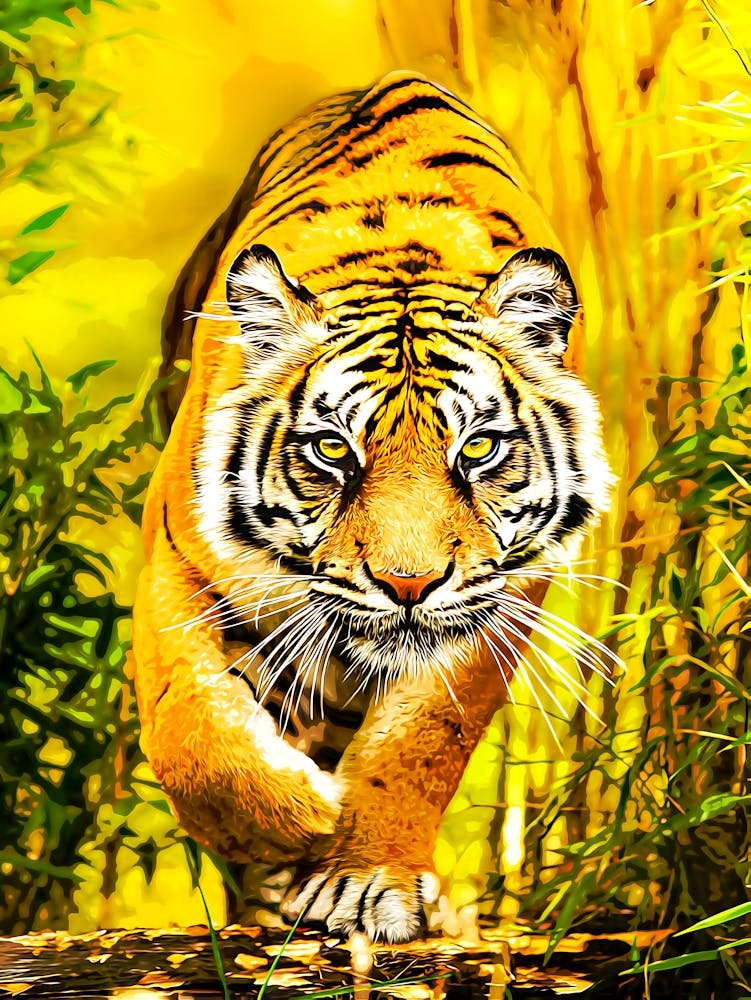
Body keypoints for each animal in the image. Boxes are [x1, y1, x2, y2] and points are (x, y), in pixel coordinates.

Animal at [132, 71, 612, 944]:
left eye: (477, 449)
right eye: (332, 450)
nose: (407, 585)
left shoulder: (500, 595)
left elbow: (419, 739)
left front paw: (364, 880)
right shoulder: (174, 560)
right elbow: (188, 723)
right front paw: (288, 822)